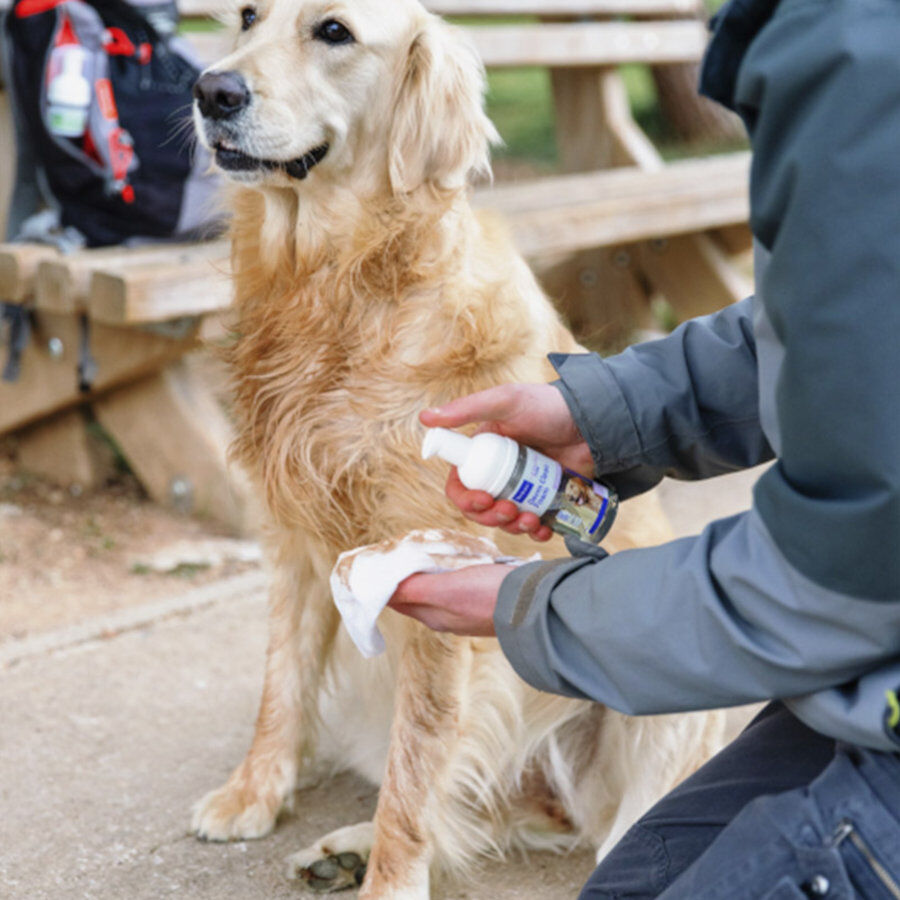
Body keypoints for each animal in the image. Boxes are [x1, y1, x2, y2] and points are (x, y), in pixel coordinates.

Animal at [190, 3, 724, 896]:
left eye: (333, 31)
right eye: (247, 17)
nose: (210, 89)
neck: (342, 289)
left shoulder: (440, 609)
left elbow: (415, 776)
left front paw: (389, 885)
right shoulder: (294, 539)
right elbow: (283, 684)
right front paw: (252, 795)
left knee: (611, 832)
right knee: (478, 808)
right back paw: (344, 849)